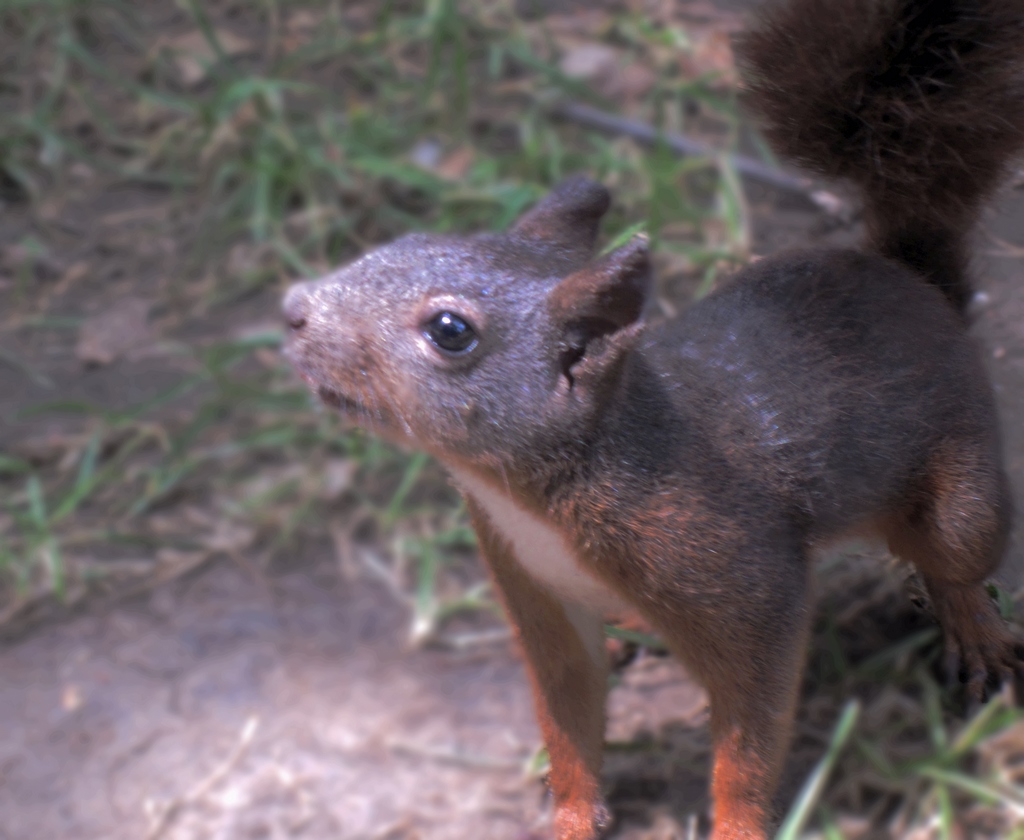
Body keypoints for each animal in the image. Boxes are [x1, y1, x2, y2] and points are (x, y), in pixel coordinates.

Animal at [284, 1, 1024, 840]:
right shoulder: (532, 585)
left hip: (962, 491)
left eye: (450, 332)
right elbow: (568, 708)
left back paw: (974, 629)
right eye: (406, 241)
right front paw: (572, 814)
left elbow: (750, 730)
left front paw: (737, 826)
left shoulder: (739, 579)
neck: (551, 486)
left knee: (954, 557)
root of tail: (913, 284)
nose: (295, 308)